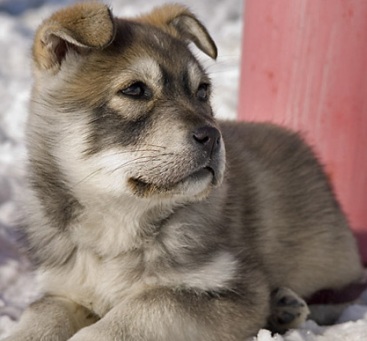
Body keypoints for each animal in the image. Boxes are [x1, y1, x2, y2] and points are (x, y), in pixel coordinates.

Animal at [3, 2, 366, 340]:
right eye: (135, 90)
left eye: (202, 91)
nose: (213, 137)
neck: (119, 225)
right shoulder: (64, 289)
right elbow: (42, 314)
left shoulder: (233, 291)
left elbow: (148, 304)